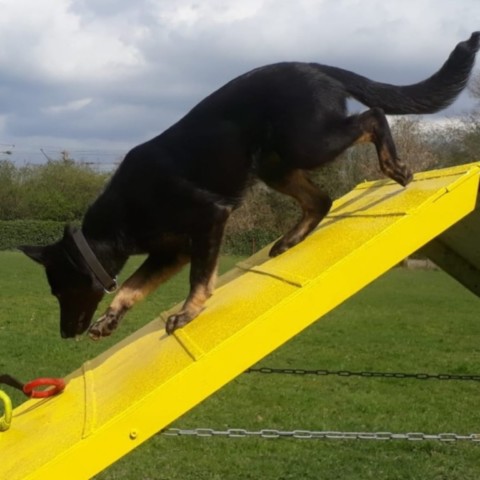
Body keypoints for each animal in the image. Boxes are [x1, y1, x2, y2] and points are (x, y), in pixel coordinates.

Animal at [20, 32, 480, 340]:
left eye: (60, 290)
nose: (65, 334)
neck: (121, 218)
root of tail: (313, 66)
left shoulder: (208, 221)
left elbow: (199, 279)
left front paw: (188, 313)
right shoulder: (172, 252)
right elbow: (132, 288)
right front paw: (110, 319)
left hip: (307, 143)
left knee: (372, 118)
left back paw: (395, 165)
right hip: (277, 165)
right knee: (321, 199)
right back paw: (290, 239)